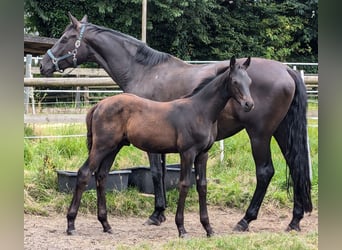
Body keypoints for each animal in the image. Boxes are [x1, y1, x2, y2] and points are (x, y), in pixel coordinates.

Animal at [40, 13, 312, 232]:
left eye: (65, 38)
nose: (43, 64)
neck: (145, 71)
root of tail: (287, 70)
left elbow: (157, 173)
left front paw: (158, 213)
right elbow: (162, 173)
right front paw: (163, 214)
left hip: (259, 134)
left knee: (265, 171)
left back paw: (246, 219)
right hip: (281, 131)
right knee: (296, 166)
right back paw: (294, 220)